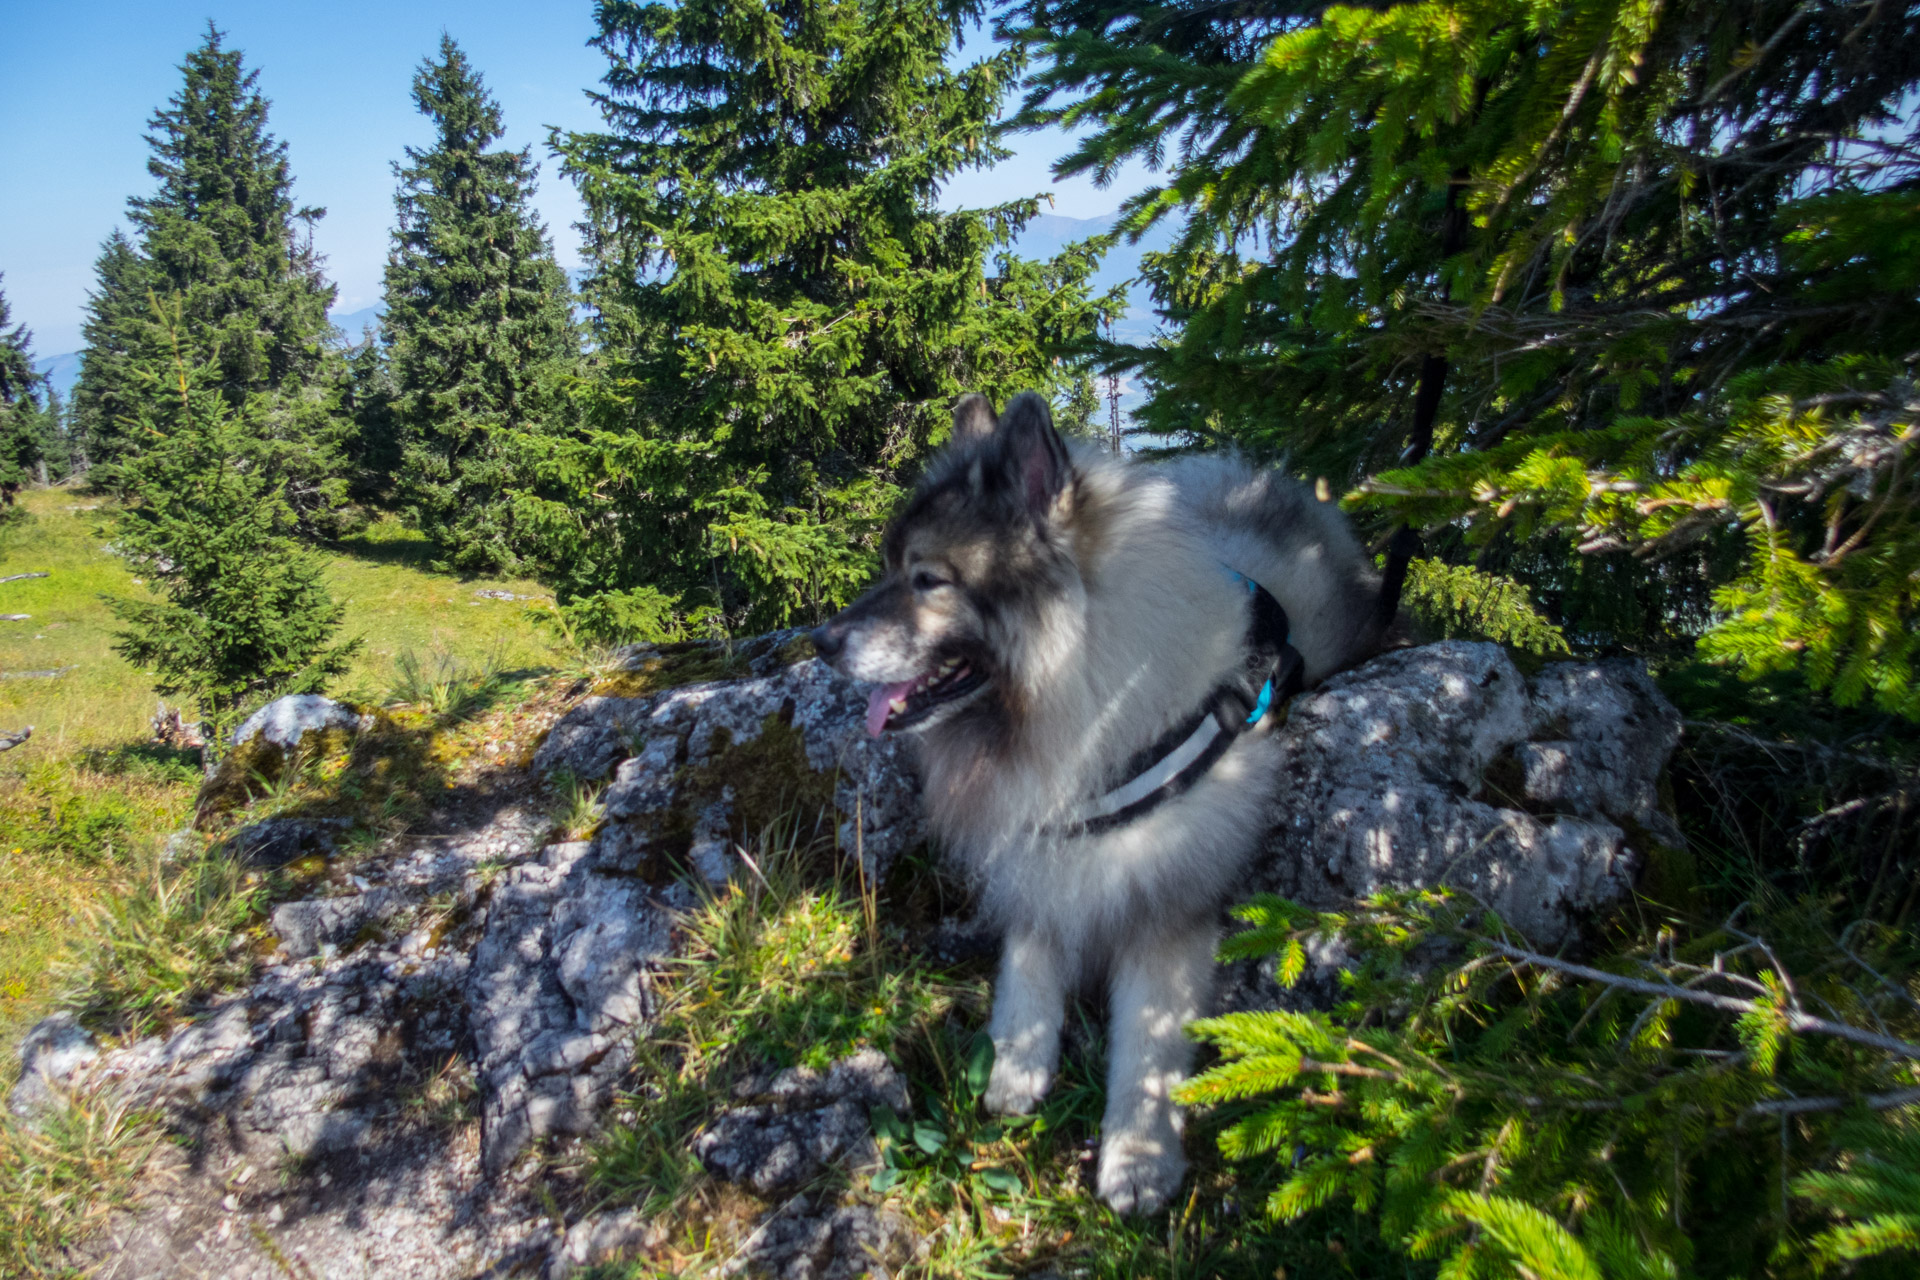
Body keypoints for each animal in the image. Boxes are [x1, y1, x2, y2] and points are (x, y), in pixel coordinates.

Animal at [810, 395, 1382, 1220]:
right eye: (890, 568)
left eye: (927, 578)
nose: (820, 641)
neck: (1094, 706)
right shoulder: (1044, 852)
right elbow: (1027, 955)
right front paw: (1015, 1059)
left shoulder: (1168, 903)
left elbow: (1147, 1047)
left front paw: (1138, 1158)